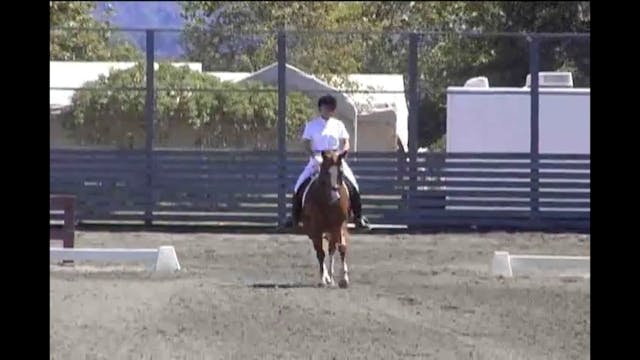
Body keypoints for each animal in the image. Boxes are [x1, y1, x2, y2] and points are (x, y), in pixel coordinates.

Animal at [300, 150, 350, 288]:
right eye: (326, 172)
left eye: (341, 172)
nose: (335, 197)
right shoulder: (316, 229)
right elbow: (320, 253)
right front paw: (323, 279)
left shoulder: (339, 226)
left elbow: (341, 248)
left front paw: (344, 279)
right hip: (313, 231)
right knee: (320, 251)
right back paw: (326, 277)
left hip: (332, 230)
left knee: (332, 249)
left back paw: (331, 278)